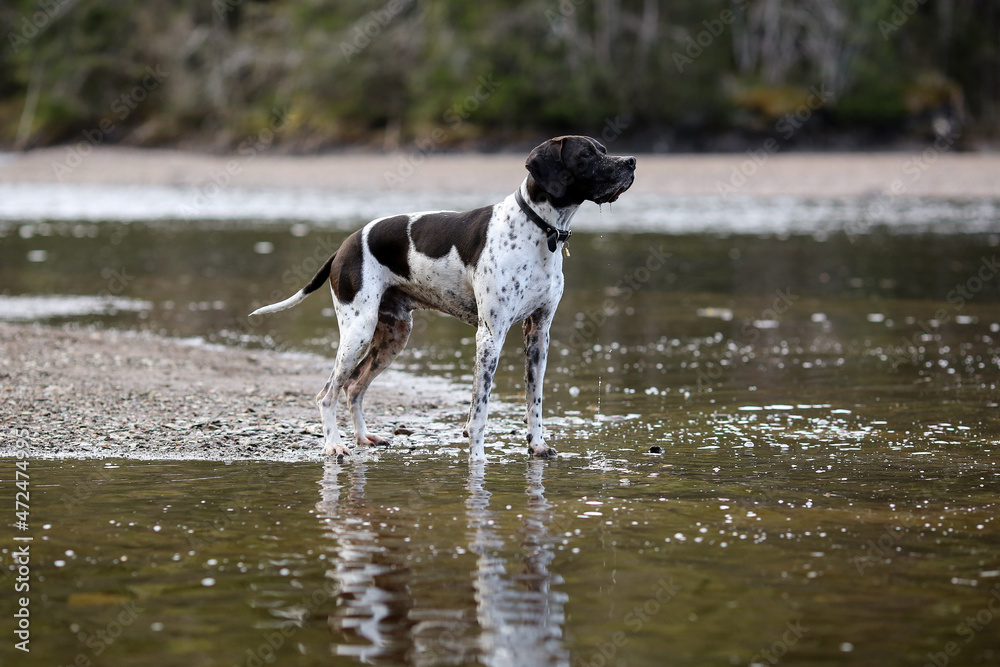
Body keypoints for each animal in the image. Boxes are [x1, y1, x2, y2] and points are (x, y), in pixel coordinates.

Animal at [254, 136, 636, 460]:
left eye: (603, 149)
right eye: (586, 155)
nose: (631, 161)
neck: (539, 231)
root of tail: (344, 246)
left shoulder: (538, 334)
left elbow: (534, 401)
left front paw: (537, 445)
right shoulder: (490, 336)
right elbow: (479, 411)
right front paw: (478, 459)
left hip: (392, 337)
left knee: (354, 387)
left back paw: (364, 437)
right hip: (357, 332)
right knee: (327, 394)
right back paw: (334, 445)